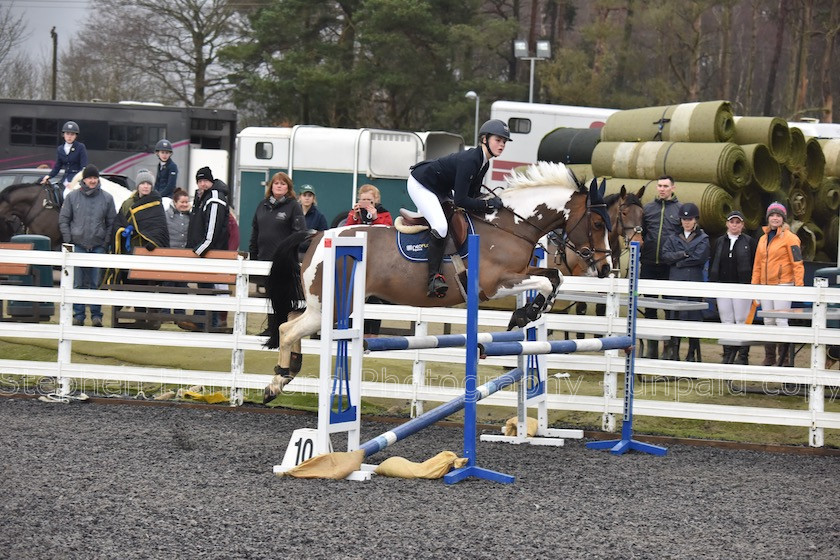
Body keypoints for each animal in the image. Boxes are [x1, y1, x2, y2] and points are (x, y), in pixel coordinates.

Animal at [262, 161, 612, 398]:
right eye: (597, 223)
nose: (606, 267)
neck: (511, 226)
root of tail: (317, 235)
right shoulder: (494, 284)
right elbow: (546, 282)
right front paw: (524, 314)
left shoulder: (521, 272)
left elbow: (554, 277)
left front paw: (531, 311)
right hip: (331, 305)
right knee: (288, 329)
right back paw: (277, 382)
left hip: (327, 305)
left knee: (290, 319)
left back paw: (286, 374)